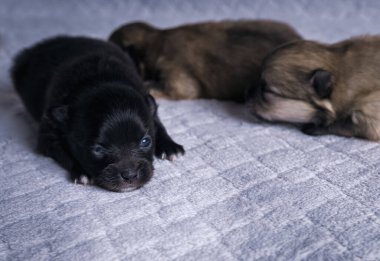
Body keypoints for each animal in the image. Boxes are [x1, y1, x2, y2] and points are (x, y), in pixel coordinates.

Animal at [11, 36, 185, 191]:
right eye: (98, 149)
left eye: (146, 141)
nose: (130, 175)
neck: (99, 79)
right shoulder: (48, 133)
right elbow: (64, 153)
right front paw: (81, 172)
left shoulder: (147, 101)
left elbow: (157, 123)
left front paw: (171, 147)